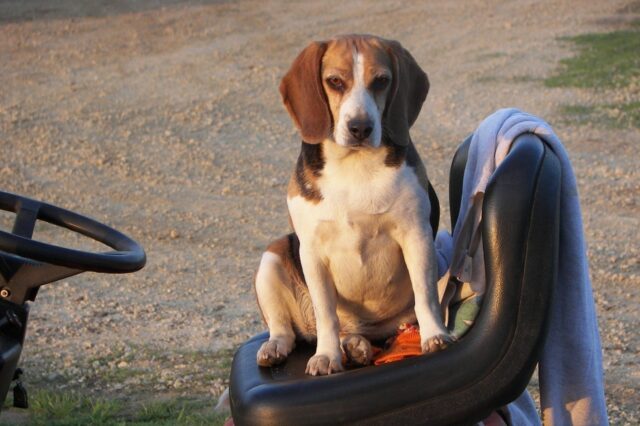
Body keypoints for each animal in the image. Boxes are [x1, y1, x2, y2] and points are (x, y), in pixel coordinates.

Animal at [252, 35, 452, 376]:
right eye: (334, 81)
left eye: (381, 81)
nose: (360, 127)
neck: (354, 165)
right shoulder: (312, 253)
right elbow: (327, 314)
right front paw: (326, 356)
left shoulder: (417, 236)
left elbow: (424, 295)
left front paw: (434, 336)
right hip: (272, 257)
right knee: (287, 329)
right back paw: (281, 347)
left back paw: (358, 346)